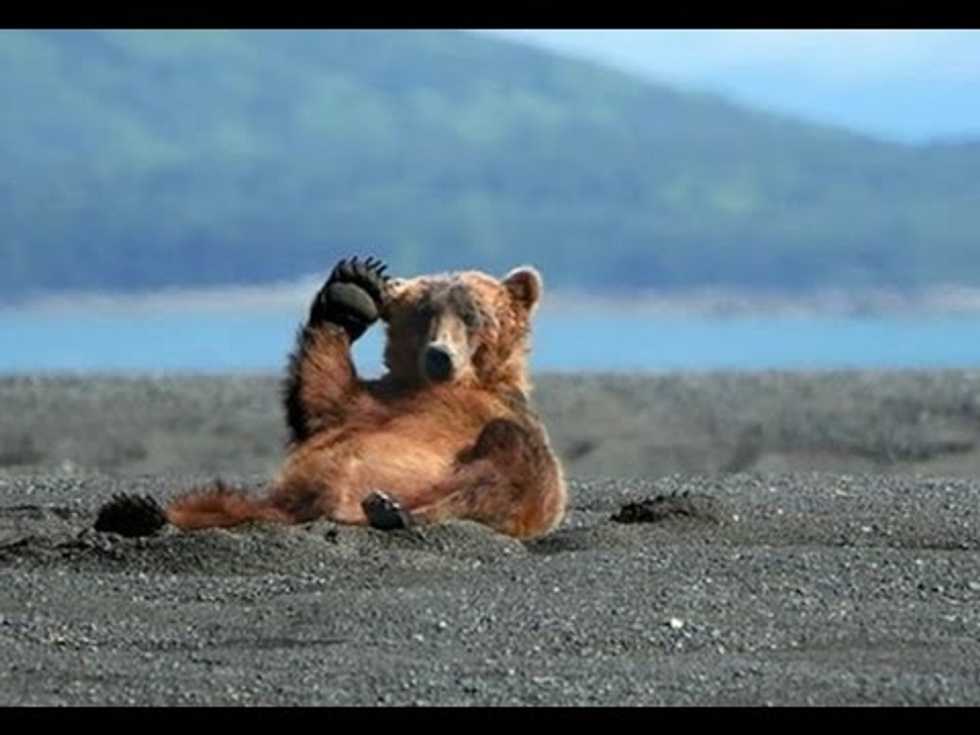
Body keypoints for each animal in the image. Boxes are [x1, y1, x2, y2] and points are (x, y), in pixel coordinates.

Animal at [95, 256, 568, 540]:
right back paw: (135, 512)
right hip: (268, 501)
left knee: (504, 466)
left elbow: (528, 471)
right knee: (217, 502)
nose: (439, 355)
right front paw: (352, 290)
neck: (448, 388)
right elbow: (322, 393)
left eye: (472, 316)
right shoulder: (371, 405)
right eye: (423, 314)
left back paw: (394, 510)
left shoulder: (497, 415)